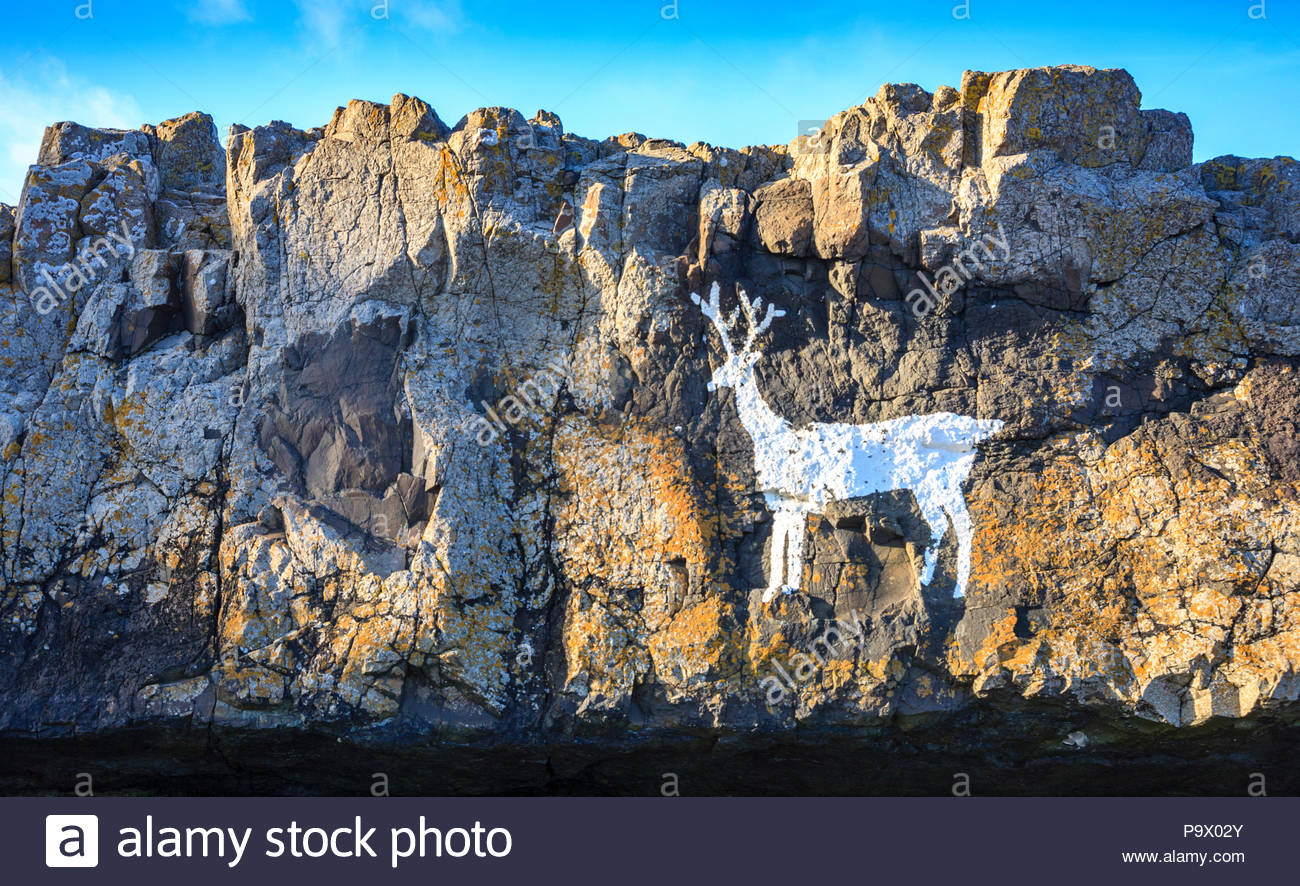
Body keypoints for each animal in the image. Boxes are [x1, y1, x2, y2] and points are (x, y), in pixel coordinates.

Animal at [692, 282, 1003, 603]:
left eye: (738, 364)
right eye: (724, 360)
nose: (712, 382)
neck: (773, 436)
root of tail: (977, 430)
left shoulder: (796, 496)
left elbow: (789, 545)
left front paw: (782, 589)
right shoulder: (784, 501)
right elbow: (784, 543)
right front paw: (779, 589)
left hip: (934, 481)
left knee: (951, 525)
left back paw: (943, 587)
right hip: (944, 483)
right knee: (956, 524)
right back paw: (943, 586)